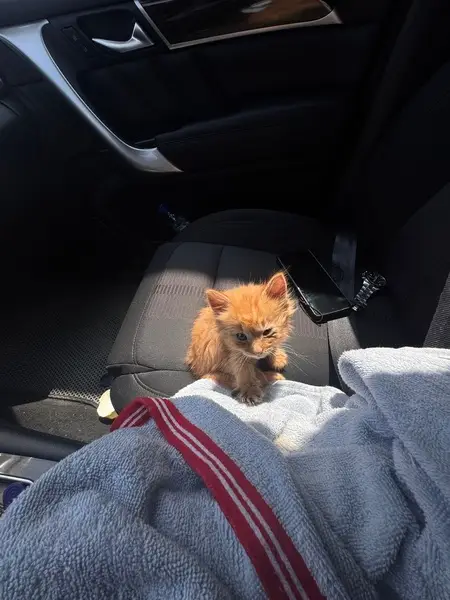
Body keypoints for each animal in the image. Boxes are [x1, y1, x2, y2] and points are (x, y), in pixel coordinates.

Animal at [186, 272, 295, 405]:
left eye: (267, 332)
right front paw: (250, 390)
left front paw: (277, 356)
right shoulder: (234, 353)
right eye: (241, 336)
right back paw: (271, 377)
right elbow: (244, 370)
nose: (258, 352)